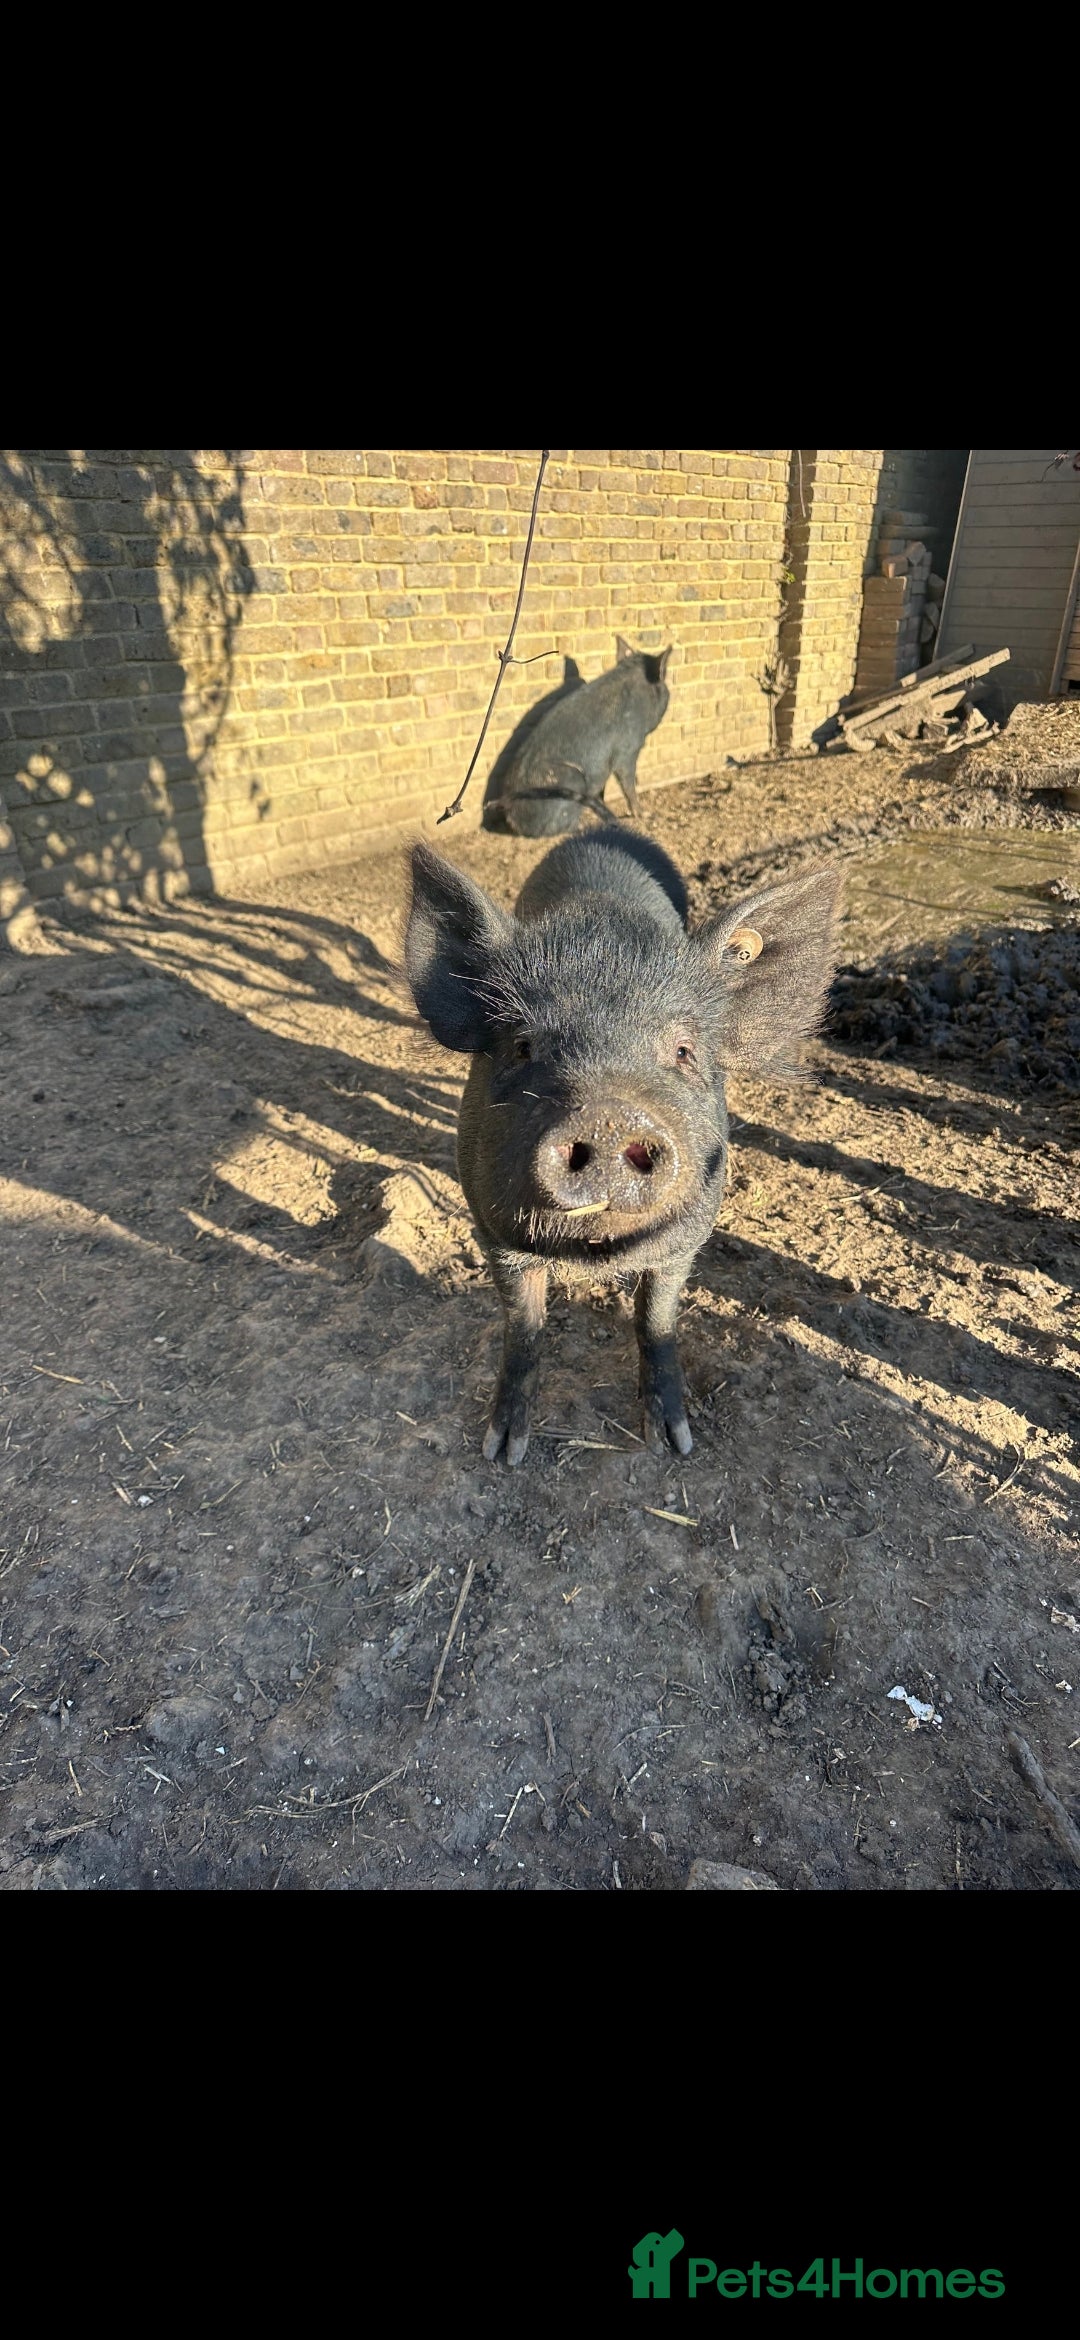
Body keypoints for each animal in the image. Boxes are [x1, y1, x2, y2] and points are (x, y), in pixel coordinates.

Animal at [405, 826, 841, 1463]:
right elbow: (523, 1326)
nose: (608, 1116)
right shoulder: (493, 1231)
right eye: (523, 1046)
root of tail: (599, 831)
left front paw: (673, 1443)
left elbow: (655, 1320)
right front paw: (502, 1451)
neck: (594, 1250)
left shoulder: (685, 1236)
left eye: (683, 1050)